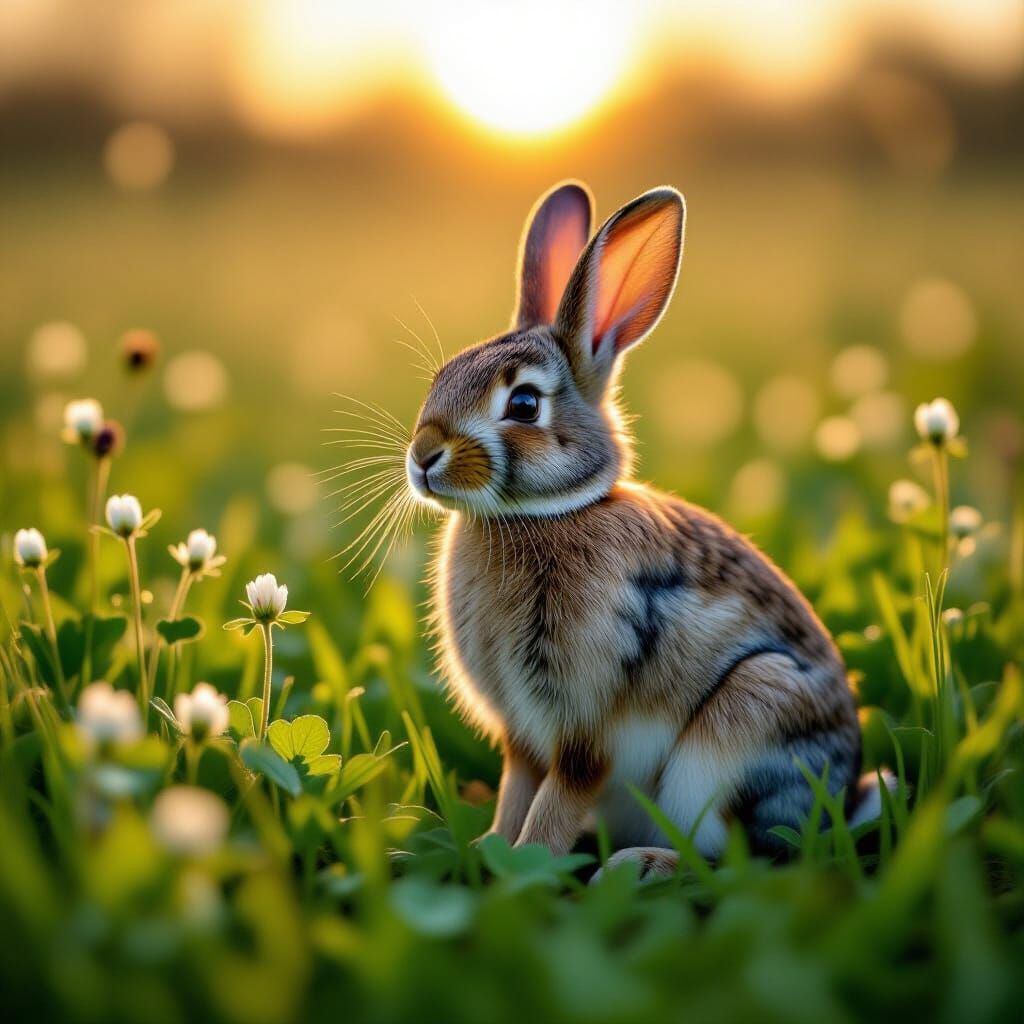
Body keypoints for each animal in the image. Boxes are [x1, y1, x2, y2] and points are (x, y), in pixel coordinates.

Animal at [405, 181, 886, 879]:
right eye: (443, 376)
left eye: (523, 404)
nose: (422, 457)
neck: (546, 513)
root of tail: (844, 801)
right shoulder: (523, 734)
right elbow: (516, 792)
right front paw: (486, 851)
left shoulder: (584, 726)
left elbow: (556, 802)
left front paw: (524, 865)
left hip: (743, 721)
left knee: (737, 858)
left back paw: (638, 866)